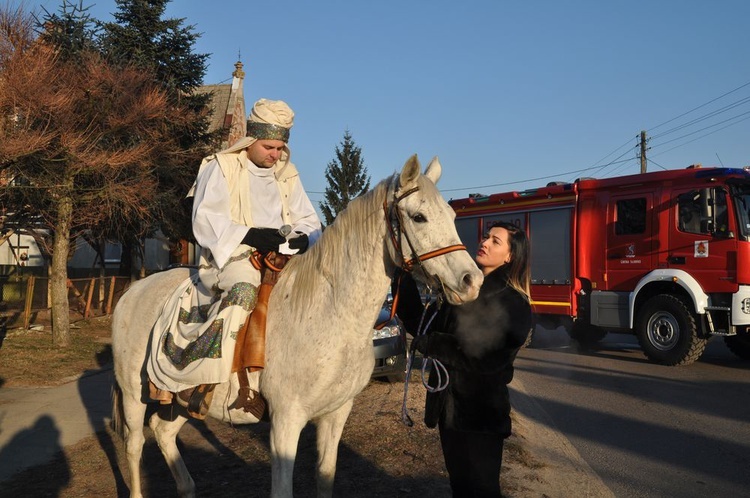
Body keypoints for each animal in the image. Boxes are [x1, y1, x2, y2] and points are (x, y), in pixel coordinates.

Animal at [112, 154, 488, 496]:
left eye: (452, 216)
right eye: (418, 217)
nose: (472, 281)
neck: (330, 314)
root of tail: (132, 291)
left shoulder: (336, 414)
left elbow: (325, 478)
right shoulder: (285, 422)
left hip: (183, 399)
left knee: (163, 432)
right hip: (133, 395)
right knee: (134, 444)